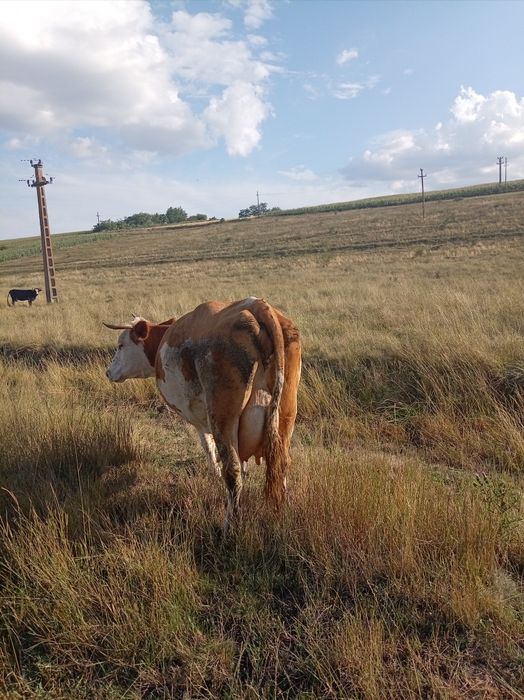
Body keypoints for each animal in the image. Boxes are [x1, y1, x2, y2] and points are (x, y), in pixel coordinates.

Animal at [104, 297, 301, 526]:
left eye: (121, 345)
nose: (108, 372)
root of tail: (256, 305)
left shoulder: (200, 420)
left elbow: (208, 446)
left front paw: (214, 472)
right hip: (286, 415)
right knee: (281, 462)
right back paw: (281, 510)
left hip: (222, 416)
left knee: (232, 470)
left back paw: (229, 523)